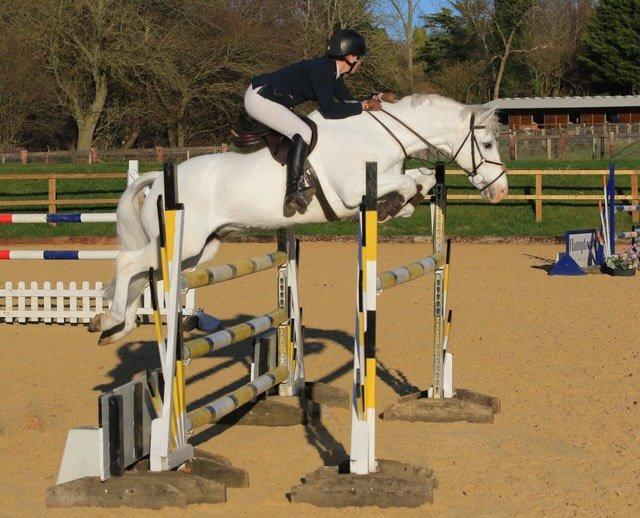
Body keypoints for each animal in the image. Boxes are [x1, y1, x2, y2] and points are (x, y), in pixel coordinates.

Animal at [90, 94, 508, 345]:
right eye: (488, 144)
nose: (501, 192)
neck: (379, 136)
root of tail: (159, 178)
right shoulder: (353, 189)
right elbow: (406, 182)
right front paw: (396, 204)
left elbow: (416, 182)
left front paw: (400, 205)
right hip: (184, 241)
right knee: (129, 263)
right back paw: (110, 319)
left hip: (199, 250)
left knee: (148, 273)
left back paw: (118, 327)